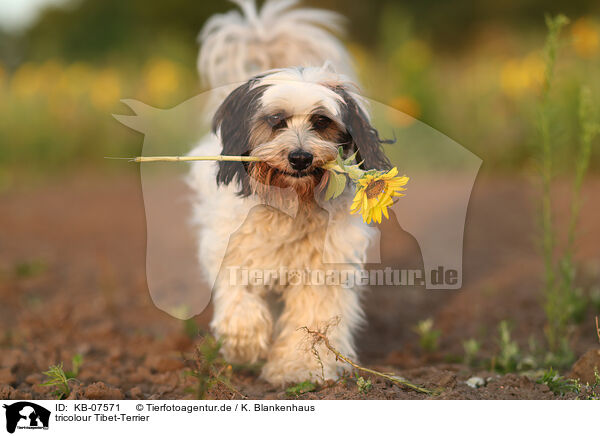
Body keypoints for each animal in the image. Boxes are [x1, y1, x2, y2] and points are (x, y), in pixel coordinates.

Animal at [190, 0, 392, 384]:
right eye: (276, 121)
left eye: (321, 121)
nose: (300, 157)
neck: (291, 202)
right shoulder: (232, 250)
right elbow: (239, 299)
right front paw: (245, 345)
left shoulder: (322, 269)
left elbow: (312, 319)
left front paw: (301, 368)